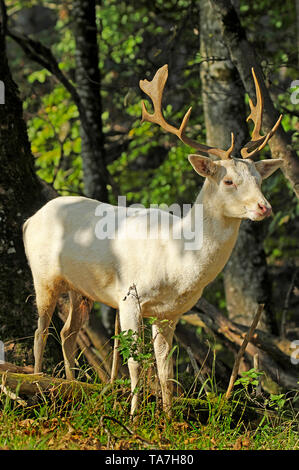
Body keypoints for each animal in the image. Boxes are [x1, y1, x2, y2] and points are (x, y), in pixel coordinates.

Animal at [23, 63, 284, 414]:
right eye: (228, 180)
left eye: (258, 178)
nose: (264, 207)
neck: (177, 261)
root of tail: (29, 219)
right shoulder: (129, 297)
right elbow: (135, 362)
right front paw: (134, 417)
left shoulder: (170, 313)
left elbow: (165, 368)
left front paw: (168, 417)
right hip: (43, 275)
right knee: (40, 331)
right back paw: (38, 384)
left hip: (81, 289)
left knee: (67, 333)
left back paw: (71, 386)